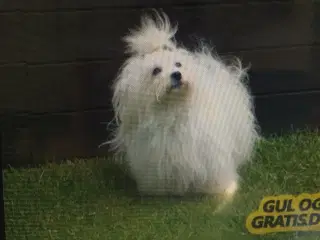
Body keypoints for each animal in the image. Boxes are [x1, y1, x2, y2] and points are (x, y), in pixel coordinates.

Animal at [107, 11, 260, 197]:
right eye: (156, 70)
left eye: (178, 64)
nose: (177, 74)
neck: (173, 110)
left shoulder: (209, 153)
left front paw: (221, 189)